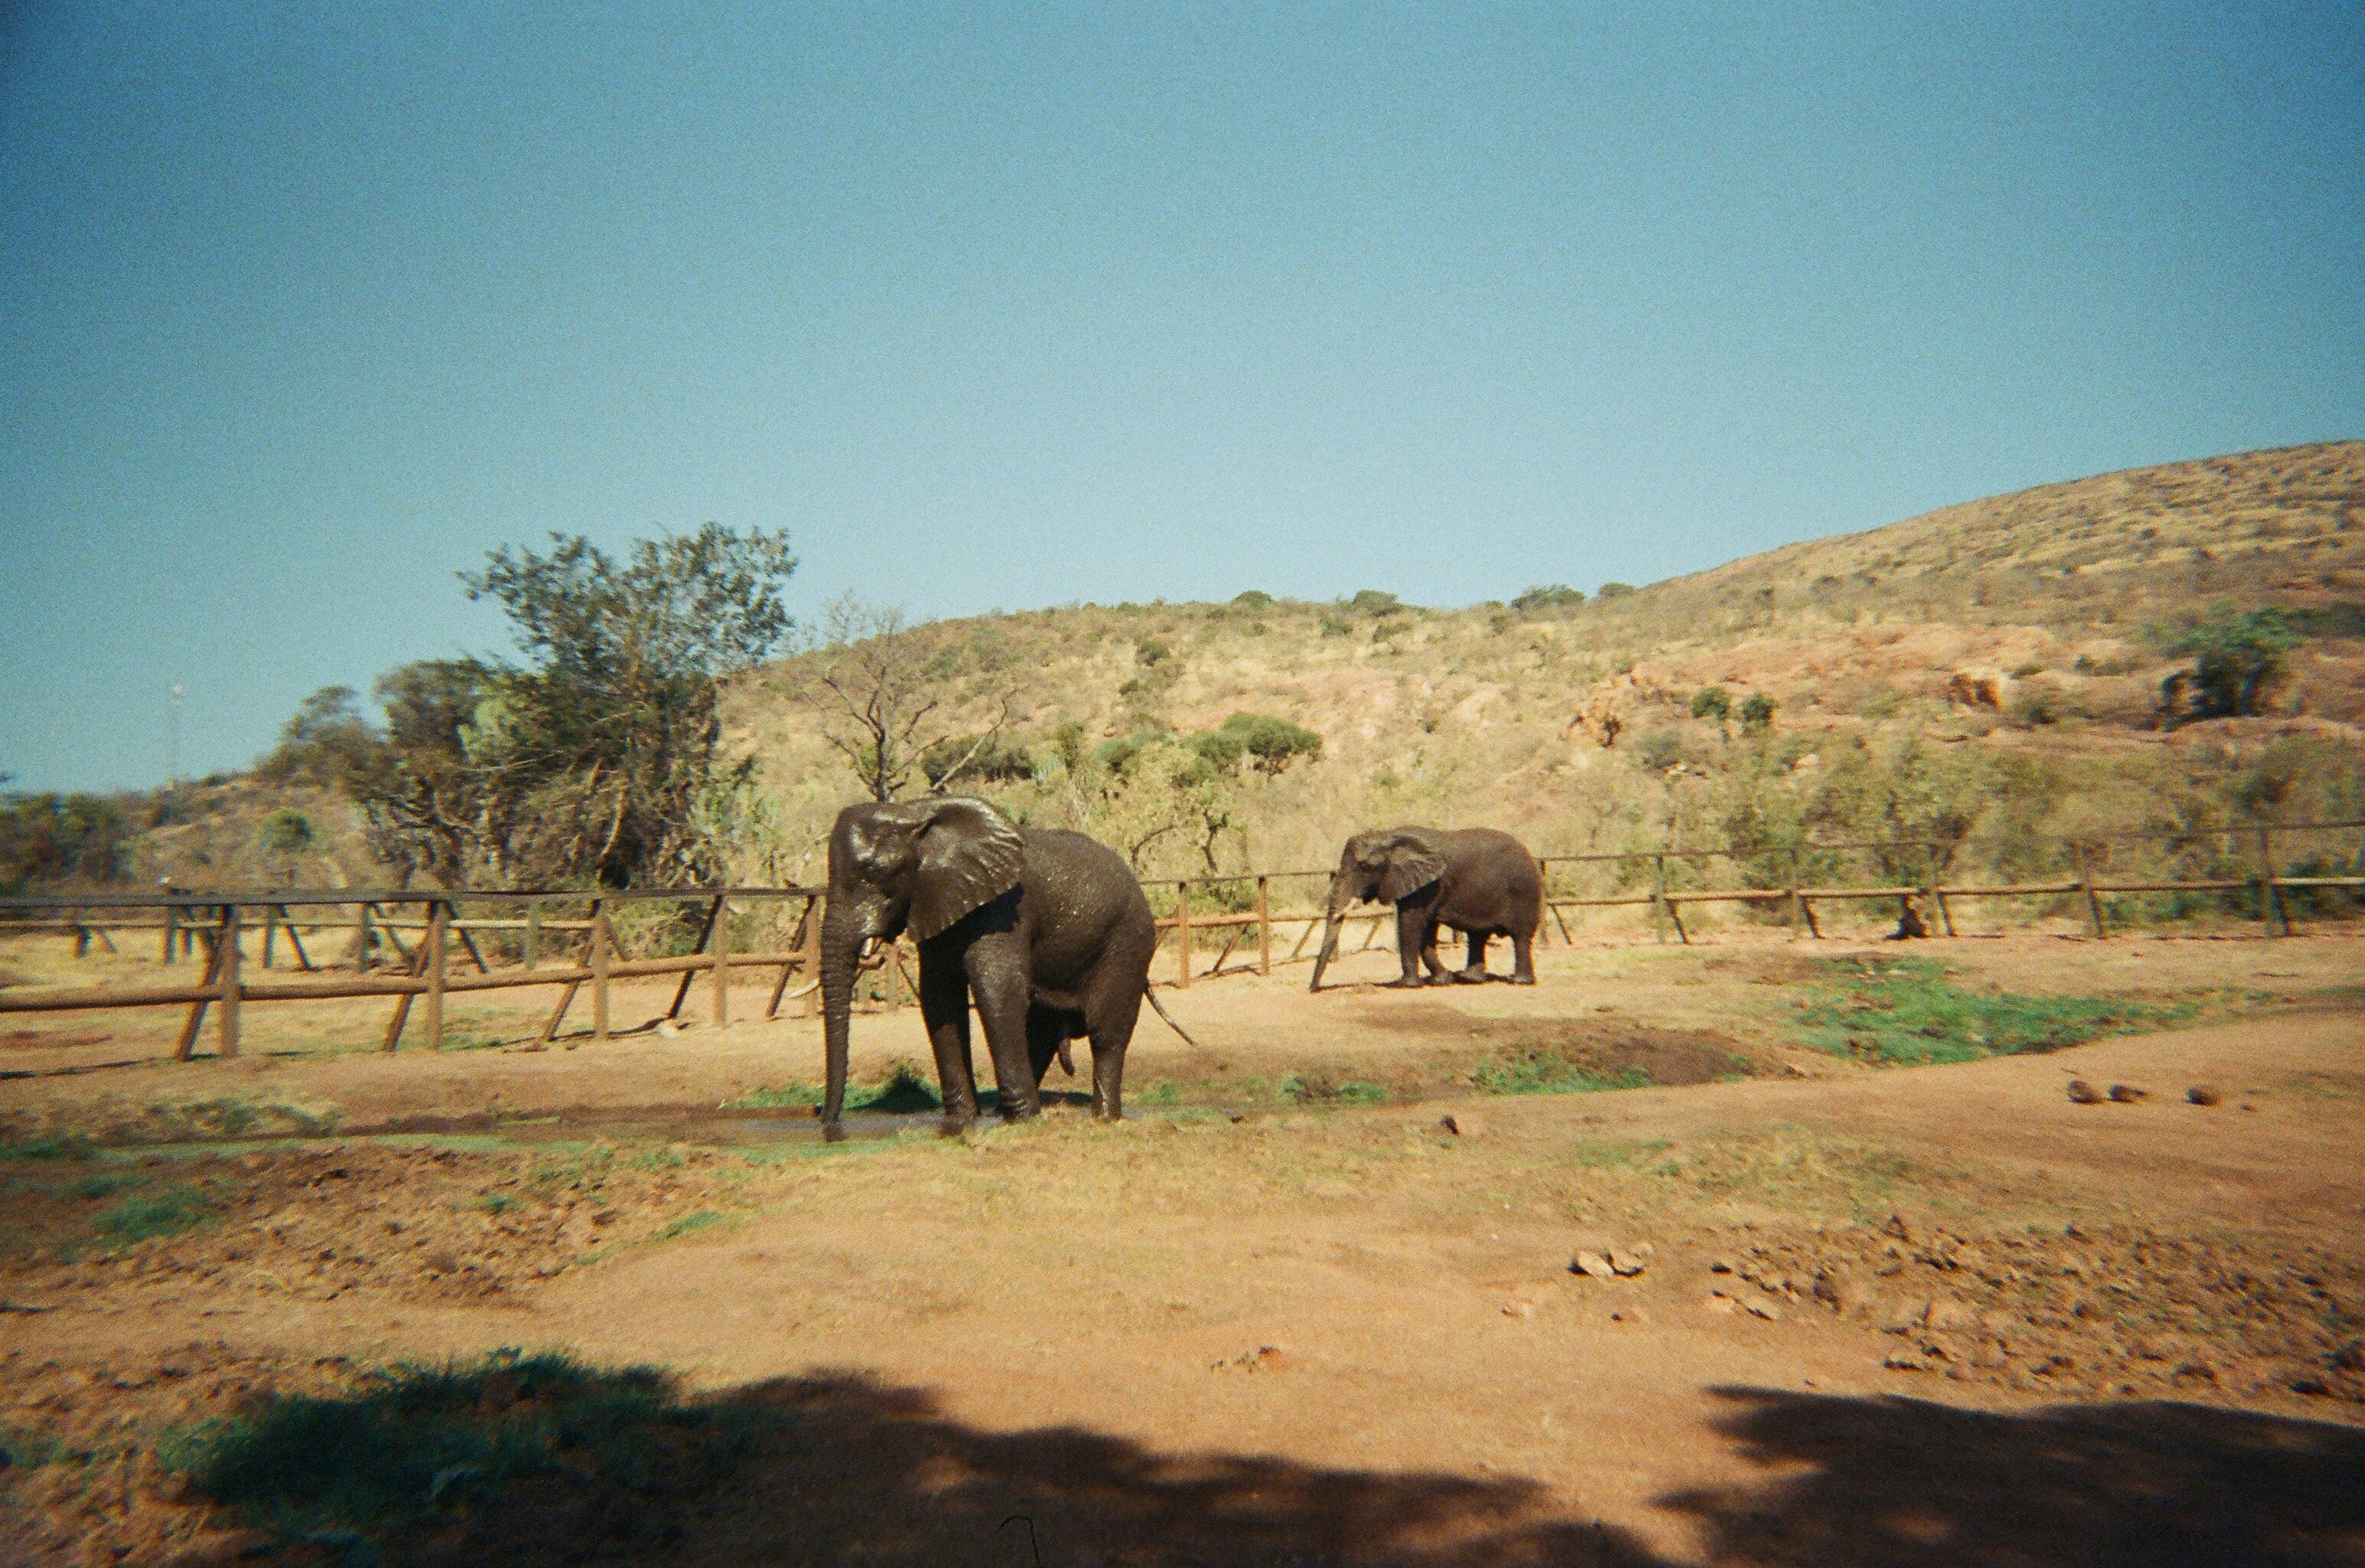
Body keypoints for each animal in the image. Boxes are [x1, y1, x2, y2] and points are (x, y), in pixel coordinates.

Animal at [818, 795, 1162, 1138]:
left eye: (872, 873)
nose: (830, 1129)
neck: (916, 812)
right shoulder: (937, 900)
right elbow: (940, 997)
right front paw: (961, 1124)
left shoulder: (1004, 908)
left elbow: (996, 989)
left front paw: (1019, 1122)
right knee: (1041, 1033)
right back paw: (1006, 1113)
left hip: (1128, 942)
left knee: (1106, 1032)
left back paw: (1103, 1119)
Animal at [1309, 826, 1542, 990]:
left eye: (1365, 868)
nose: (1313, 989)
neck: (1391, 836)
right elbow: (1426, 930)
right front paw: (1442, 980)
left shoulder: (1429, 886)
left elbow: (1411, 923)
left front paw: (1406, 985)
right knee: (1478, 935)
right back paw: (1468, 979)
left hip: (1524, 892)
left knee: (1520, 936)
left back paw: (1518, 981)